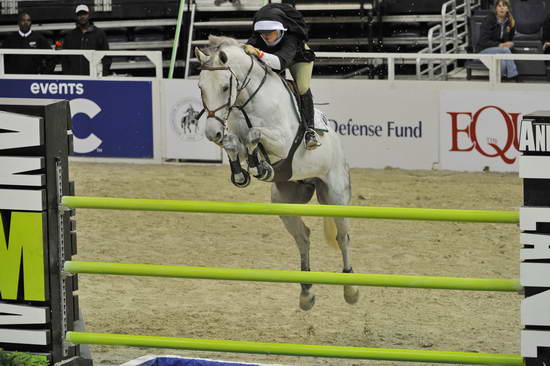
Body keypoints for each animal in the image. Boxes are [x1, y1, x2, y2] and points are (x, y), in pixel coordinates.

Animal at [196, 35, 360, 310]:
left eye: (224, 87)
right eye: (200, 87)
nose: (211, 133)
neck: (247, 102)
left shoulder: (283, 142)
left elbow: (254, 134)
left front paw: (259, 166)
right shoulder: (235, 137)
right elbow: (234, 143)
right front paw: (243, 173)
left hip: (336, 195)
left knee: (343, 237)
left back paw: (351, 289)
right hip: (285, 201)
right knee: (303, 237)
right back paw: (306, 292)